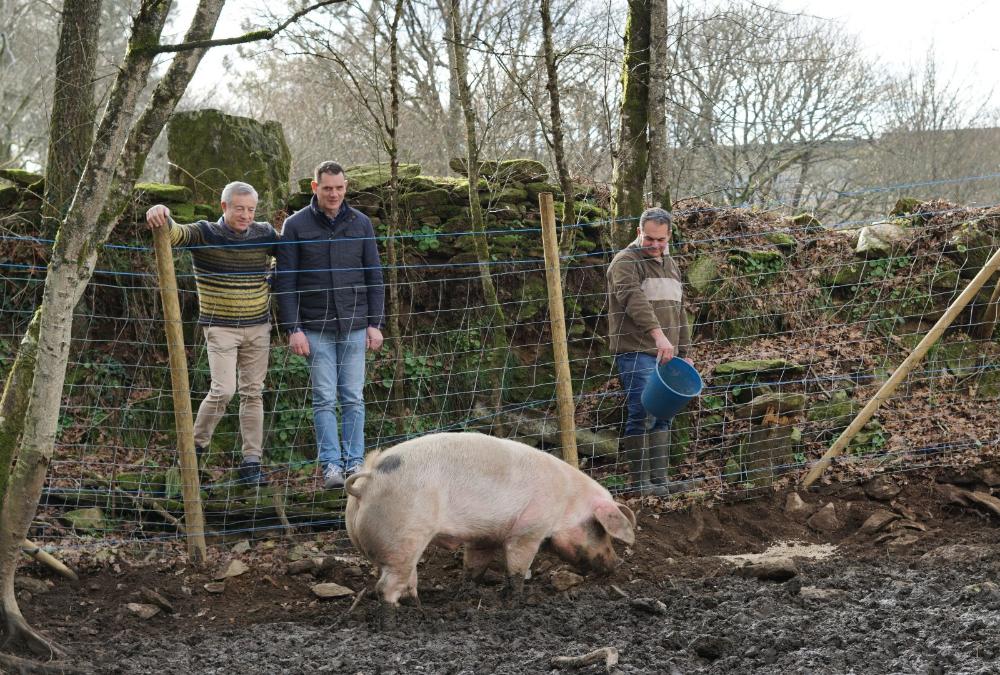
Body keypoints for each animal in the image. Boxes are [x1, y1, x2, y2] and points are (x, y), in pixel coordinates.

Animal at [344, 431, 636, 617]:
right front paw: (516, 605)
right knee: (386, 588)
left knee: (405, 582)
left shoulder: (482, 537)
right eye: (600, 530)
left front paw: (467, 596)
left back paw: (421, 611)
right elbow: (517, 570)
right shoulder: (529, 530)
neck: (567, 502)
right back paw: (394, 623)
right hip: (404, 537)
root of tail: (368, 479)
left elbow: (474, 568)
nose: (617, 564)